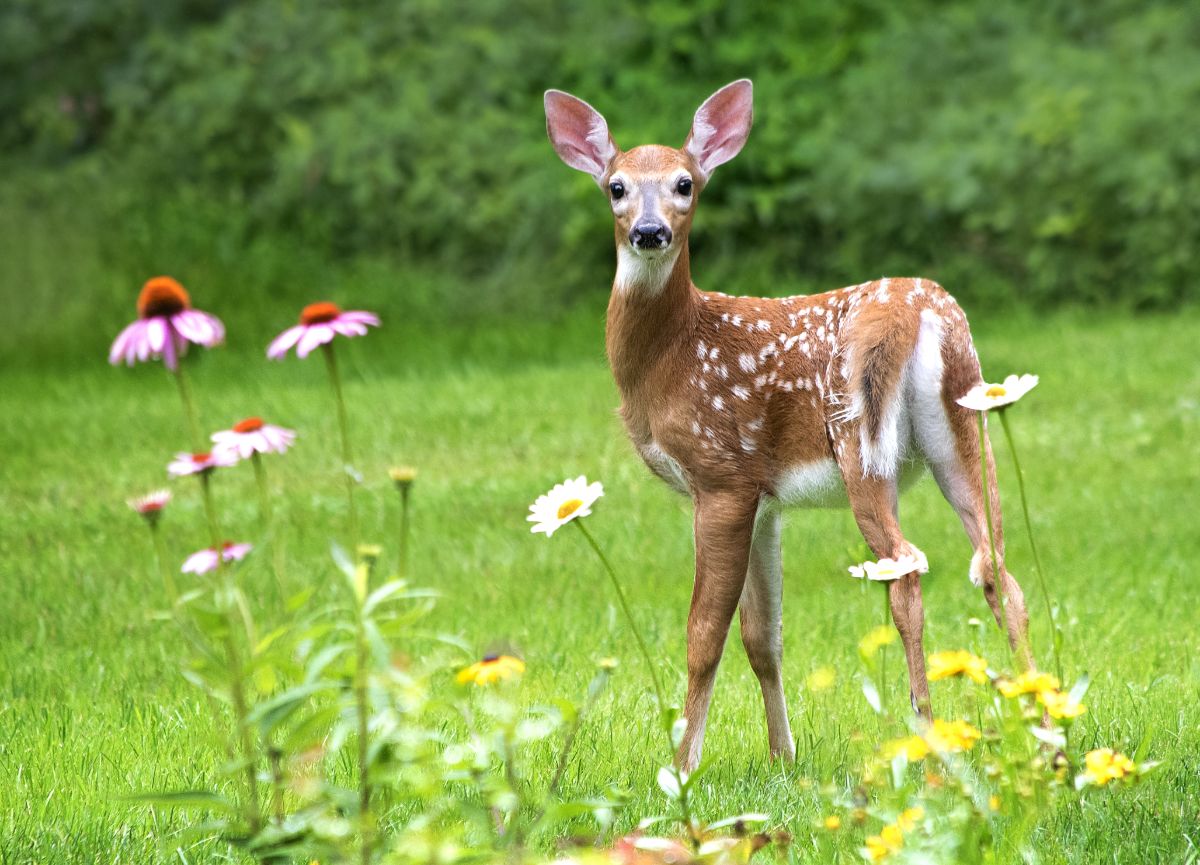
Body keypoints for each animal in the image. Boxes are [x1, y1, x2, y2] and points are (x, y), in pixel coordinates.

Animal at [544, 80, 1032, 767]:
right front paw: (783, 755)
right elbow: (762, 635)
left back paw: (927, 732)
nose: (649, 231)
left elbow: (705, 633)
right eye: (616, 186)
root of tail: (919, 312)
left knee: (908, 569)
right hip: (964, 426)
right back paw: (1042, 720)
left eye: (685, 183)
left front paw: (681, 767)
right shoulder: (765, 497)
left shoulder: (721, 474)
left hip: (859, 441)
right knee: (997, 569)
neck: (671, 355)